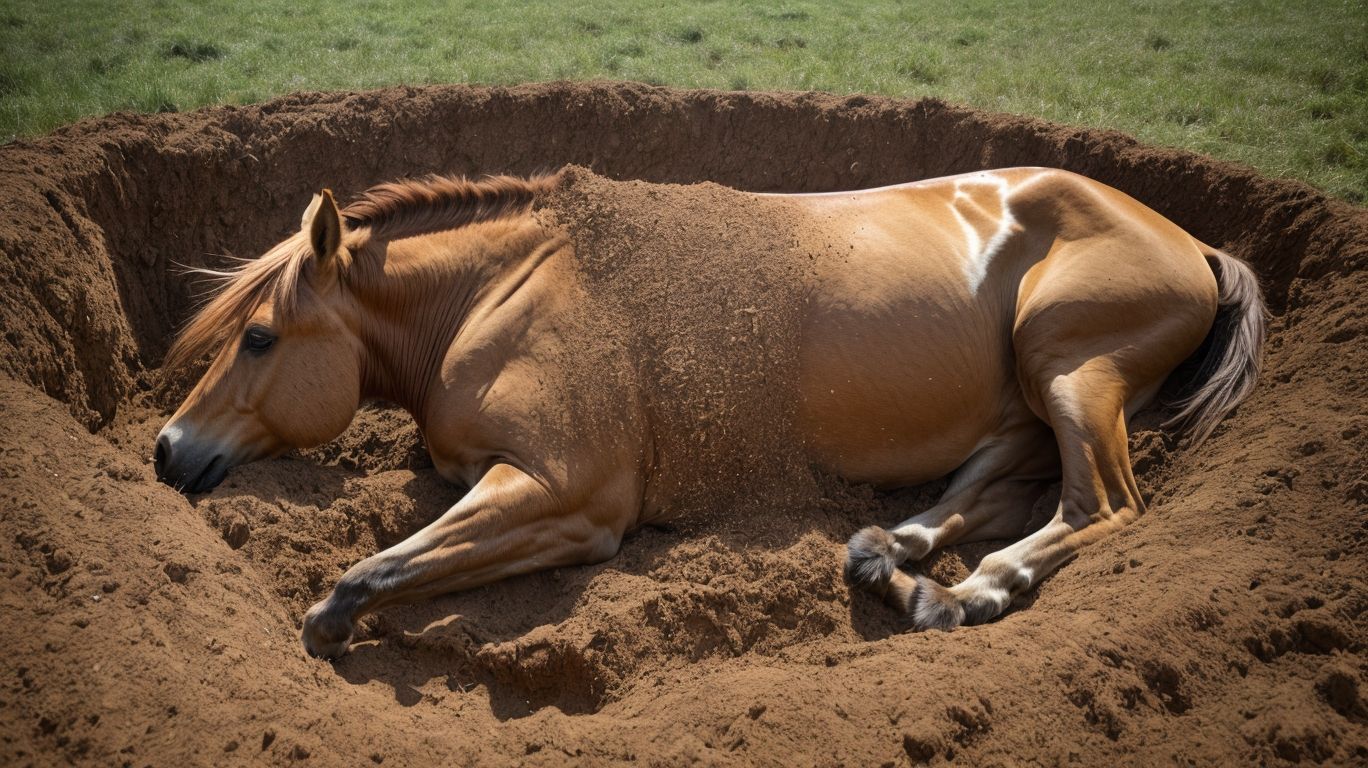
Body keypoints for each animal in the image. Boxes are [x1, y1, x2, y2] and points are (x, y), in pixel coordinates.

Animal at [153, 167, 1264, 660]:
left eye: (259, 338)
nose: (167, 450)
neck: (501, 291)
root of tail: (1195, 243)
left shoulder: (567, 497)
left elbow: (369, 575)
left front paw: (343, 619)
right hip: (1031, 406)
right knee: (990, 492)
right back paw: (898, 563)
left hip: (1070, 377)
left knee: (1099, 507)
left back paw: (978, 587)